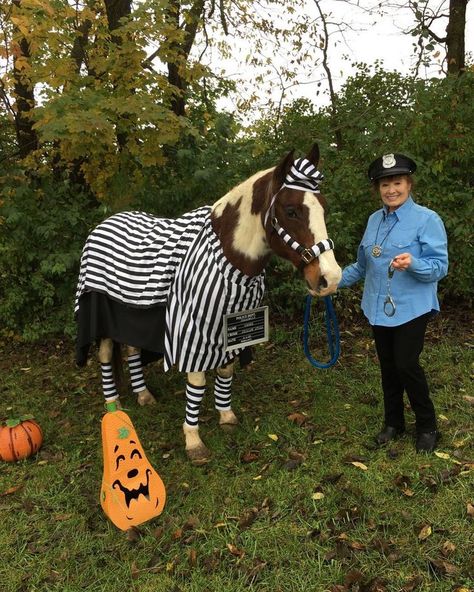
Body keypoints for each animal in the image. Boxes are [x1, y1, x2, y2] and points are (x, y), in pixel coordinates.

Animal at [75, 142, 340, 462]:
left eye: (323, 207)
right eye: (291, 211)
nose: (331, 277)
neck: (228, 261)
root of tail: (103, 223)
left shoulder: (229, 328)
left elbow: (225, 371)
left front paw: (226, 416)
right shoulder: (192, 334)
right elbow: (197, 382)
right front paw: (193, 440)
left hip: (131, 317)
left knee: (131, 349)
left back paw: (143, 395)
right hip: (101, 318)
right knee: (104, 355)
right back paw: (113, 405)